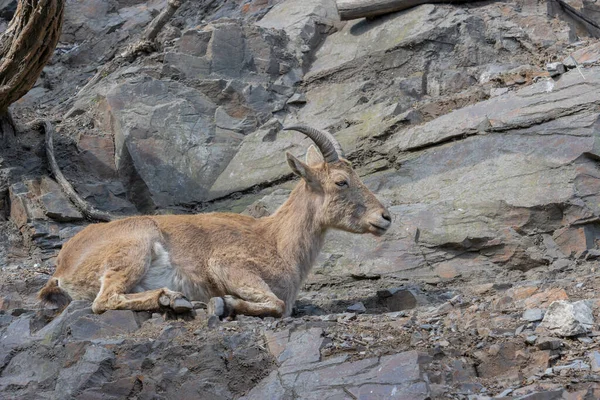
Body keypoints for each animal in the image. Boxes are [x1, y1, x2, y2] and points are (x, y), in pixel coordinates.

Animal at [38, 126, 394, 318]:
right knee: (104, 300)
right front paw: (227, 304)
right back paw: (172, 298)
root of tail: (62, 268)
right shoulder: (227, 264)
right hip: (135, 246)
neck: (276, 241)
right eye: (341, 182)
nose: (385, 217)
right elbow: (276, 303)